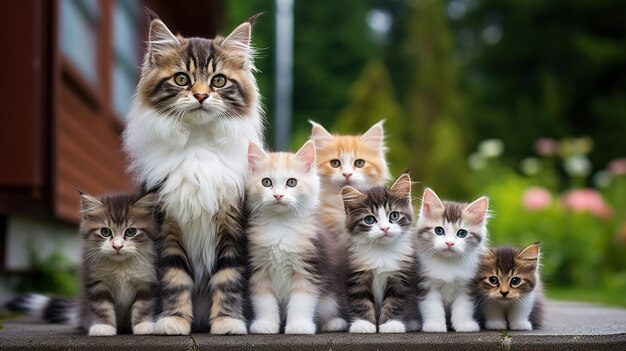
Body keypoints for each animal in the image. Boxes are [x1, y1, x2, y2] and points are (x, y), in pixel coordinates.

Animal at [6, 194, 160, 336]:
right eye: (105, 231)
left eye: (130, 231)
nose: (117, 246)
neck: (120, 266)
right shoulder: (96, 281)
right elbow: (101, 306)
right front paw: (103, 327)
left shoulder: (147, 282)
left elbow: (144, 305)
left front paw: (144, 325)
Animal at [123, 14, 262, 336]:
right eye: (182, 79)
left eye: (218, 81)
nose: (200, 95)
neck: (198, 146)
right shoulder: (167, 226)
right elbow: (175, 279)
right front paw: (172, 321)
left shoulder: (232, 226)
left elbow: (228, 279)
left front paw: (228, 322)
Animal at [245, 142, 346, 336]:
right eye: (266, 182)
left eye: (291, 182)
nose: (278, 195)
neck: (280, 225)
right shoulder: (259, 269)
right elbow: (264, 302)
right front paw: (265, 324)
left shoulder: (308, 268)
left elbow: (301, 302)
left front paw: (299, 326)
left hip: (330, 296)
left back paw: (334, 323)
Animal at [338, 175, 416, 334]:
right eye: (369, 219)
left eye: (394, 215)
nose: (385, 228)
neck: (381, 251)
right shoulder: (356, 275)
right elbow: (360, 300)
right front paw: (363, 324)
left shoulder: (400, 276)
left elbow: (395, 301)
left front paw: (391, 324)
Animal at [414, 190, 488, 332]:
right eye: (439, 230)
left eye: (461, 233)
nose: (449, 243)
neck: (447, 262)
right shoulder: (426, 282)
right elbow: (432, 306)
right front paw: (435, 325)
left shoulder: (467, 285)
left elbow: (463, 307)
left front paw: (464, 324)